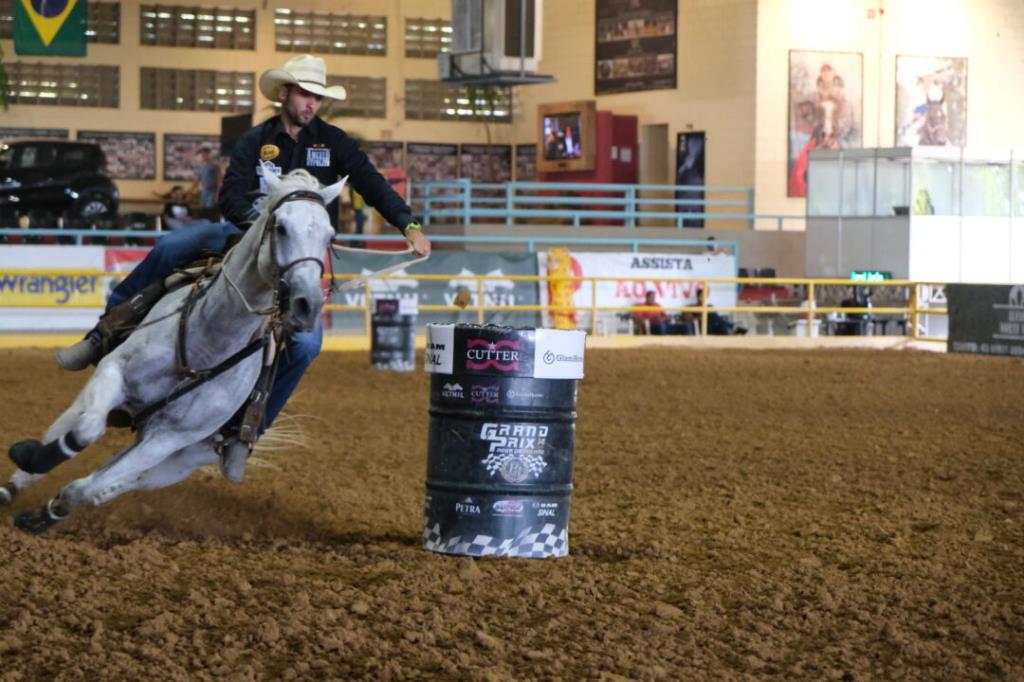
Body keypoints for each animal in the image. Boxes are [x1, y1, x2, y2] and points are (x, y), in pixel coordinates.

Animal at [2, 164, 346, 532]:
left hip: (182, 459)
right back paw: (12, 486)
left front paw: (44, 513)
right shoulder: (113, 372)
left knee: (118, 483)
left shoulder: (168, 439)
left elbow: (82, 489)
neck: (207, 345)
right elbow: (84, 430)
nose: (307, 304)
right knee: (66, 426)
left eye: (329, 236)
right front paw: (28, 455)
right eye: (280, 227)